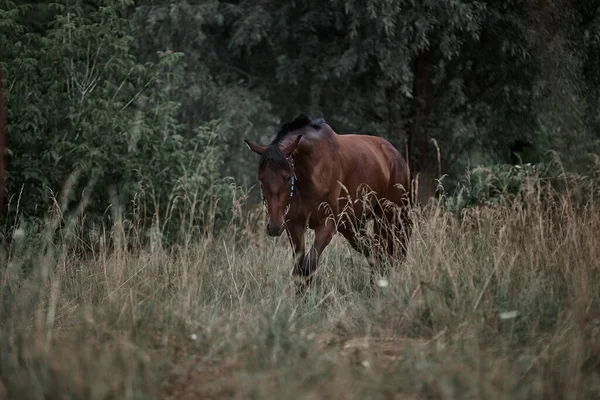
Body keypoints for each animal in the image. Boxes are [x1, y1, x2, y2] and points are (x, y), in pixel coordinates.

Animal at [245, 114, 412, 290]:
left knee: (384, 251)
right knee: (374, 252)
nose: (274, 227)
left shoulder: (327, 225)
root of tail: (396, 156)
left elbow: (308, 265)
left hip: (386, 218)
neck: (311, 171)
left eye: (287, 177)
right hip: (351, 226)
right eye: (261, 178)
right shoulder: (294, 225)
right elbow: (299, 268)